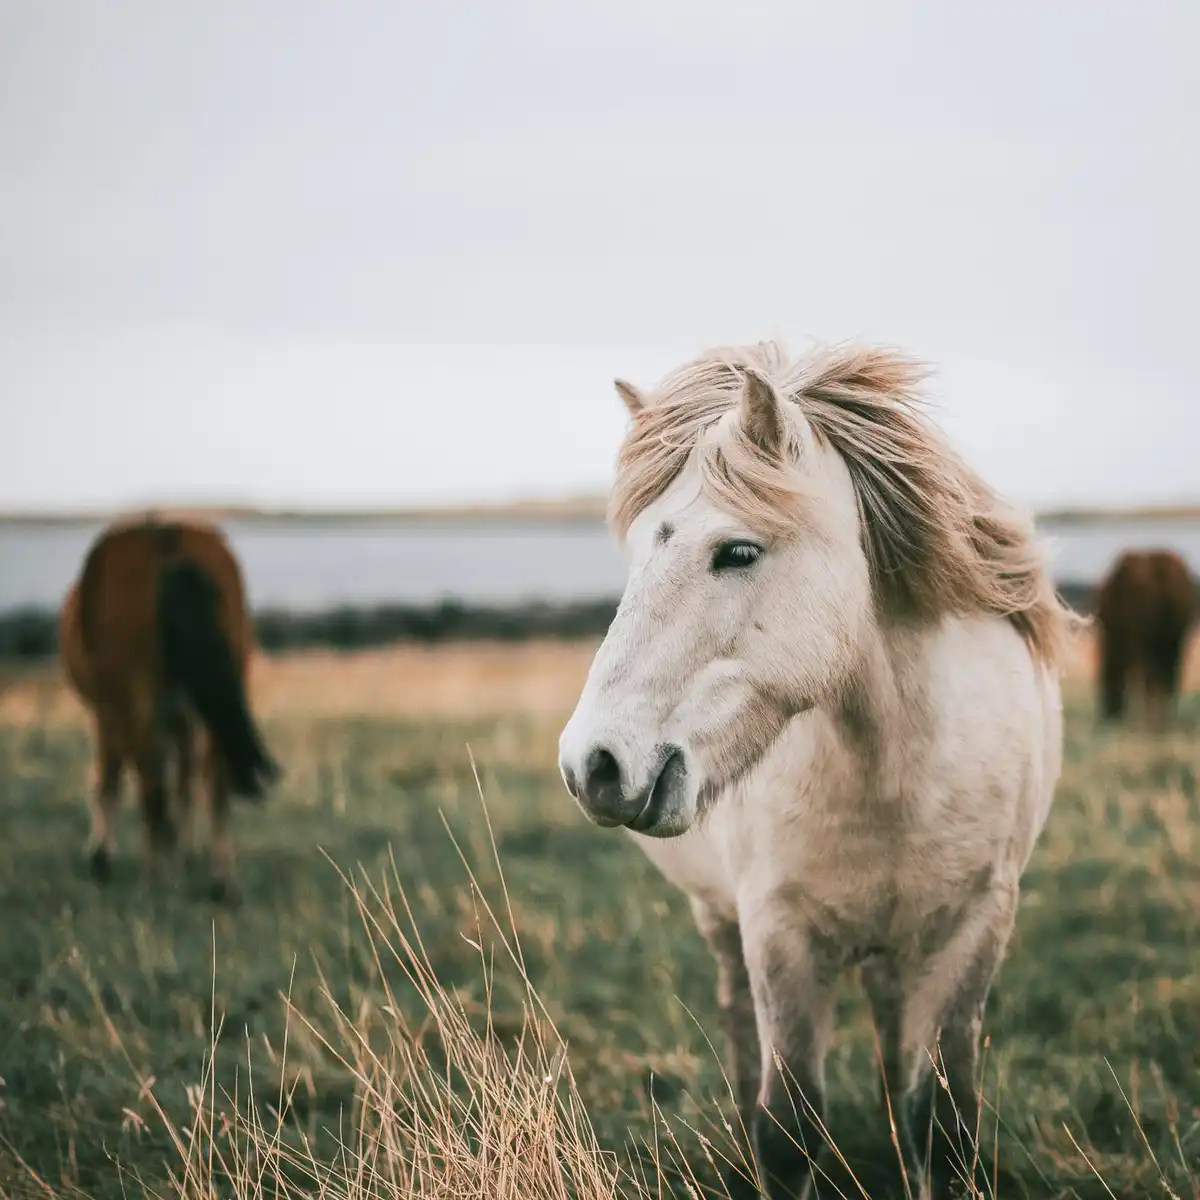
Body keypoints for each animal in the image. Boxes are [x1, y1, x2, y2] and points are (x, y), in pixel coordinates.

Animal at [60, 513, 279, 900]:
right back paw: (221, 881)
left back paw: (155, 881)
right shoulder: (183, 714)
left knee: (153, 786)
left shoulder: (111, 712)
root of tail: (165, 539)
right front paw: (184, 853)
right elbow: (185, 780)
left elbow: (111, 780)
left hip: (139, 703)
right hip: (214, 698)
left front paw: (102, 857)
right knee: (213, 781)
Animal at [558, 341, 1078, 1200]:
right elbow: (789, 1130)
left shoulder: (972, 930)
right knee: (740, 1023)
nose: (592, 764)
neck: (893, 771)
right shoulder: (779, 935)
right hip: (724, 920)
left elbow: (944, 1125)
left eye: (737, 551)